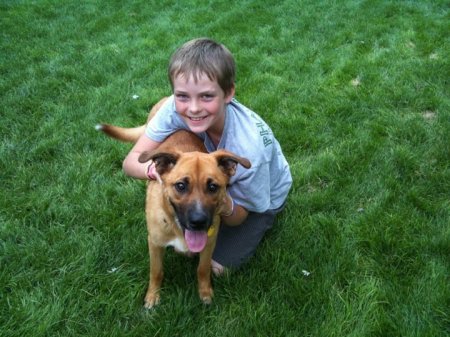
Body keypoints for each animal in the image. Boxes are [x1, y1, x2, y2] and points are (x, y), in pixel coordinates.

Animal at [98, 97, 251, 308]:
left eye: (213, 187)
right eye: (180, 186)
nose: (198, 222)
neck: (177, 227)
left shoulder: (209, 243)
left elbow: (203, 269)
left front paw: (205, 293)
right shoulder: (154, 243)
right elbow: (156, 272)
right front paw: (152, 297)